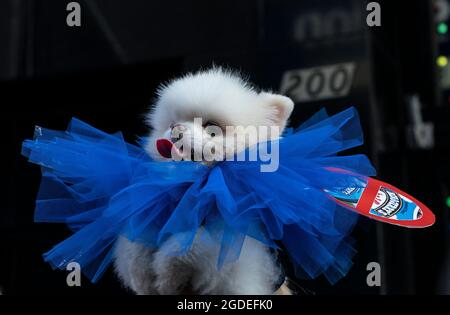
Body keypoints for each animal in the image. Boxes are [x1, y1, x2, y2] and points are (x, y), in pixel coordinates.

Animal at [114, 67, 294, 296]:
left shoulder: (235, 247)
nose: (176, 129)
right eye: (170, 124)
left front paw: (166, 275)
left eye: (212, 127)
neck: (195, 189)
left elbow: (190, 244)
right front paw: (141, 272)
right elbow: (136, 241)